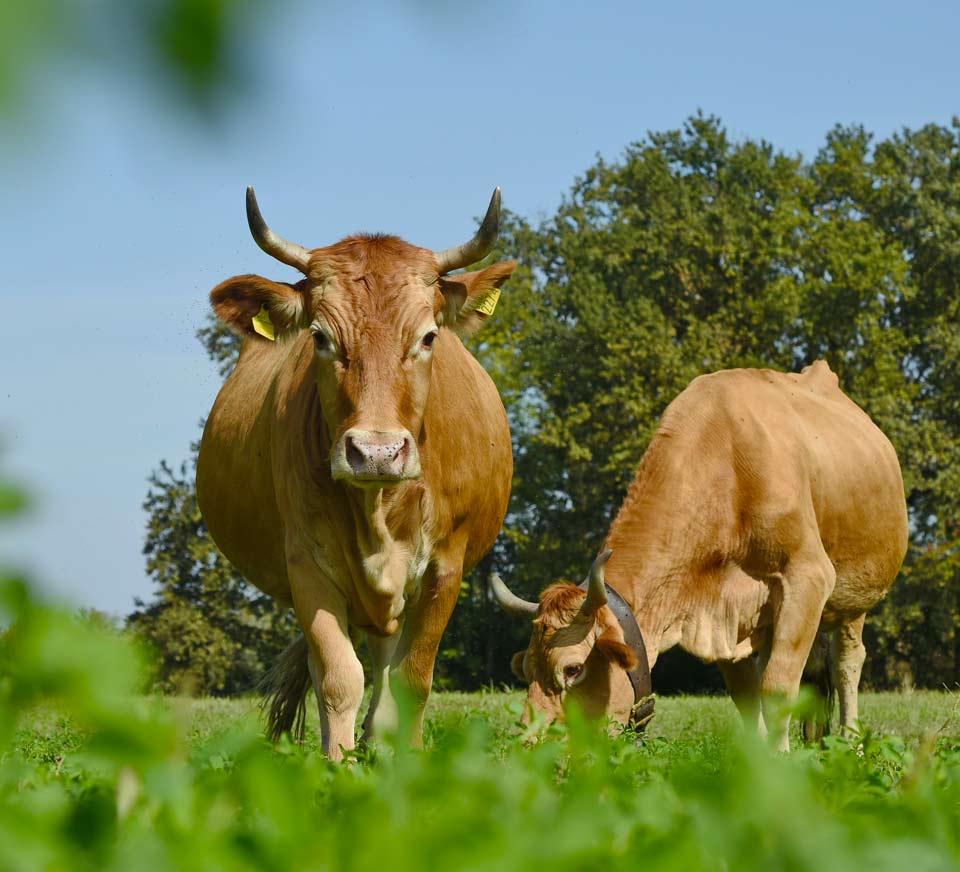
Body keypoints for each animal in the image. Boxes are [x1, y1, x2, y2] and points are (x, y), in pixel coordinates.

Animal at [195, 187, 516, 760]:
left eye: (428, 337)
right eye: (321, 337)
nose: (377, 451)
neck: (377, 510)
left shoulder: (446, 567)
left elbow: (413, 677)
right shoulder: (306, 563)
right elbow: (338, 675)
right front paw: (335, 765)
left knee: (387, 657)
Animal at [496, 362, 908, 748]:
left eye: (572, 669)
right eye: (526, 670)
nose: (529, 745)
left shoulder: (807, 577)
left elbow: (777, 688)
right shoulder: (723, 613)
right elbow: (747, 697)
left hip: (852, 593)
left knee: (846, 663)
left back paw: (851, 742)